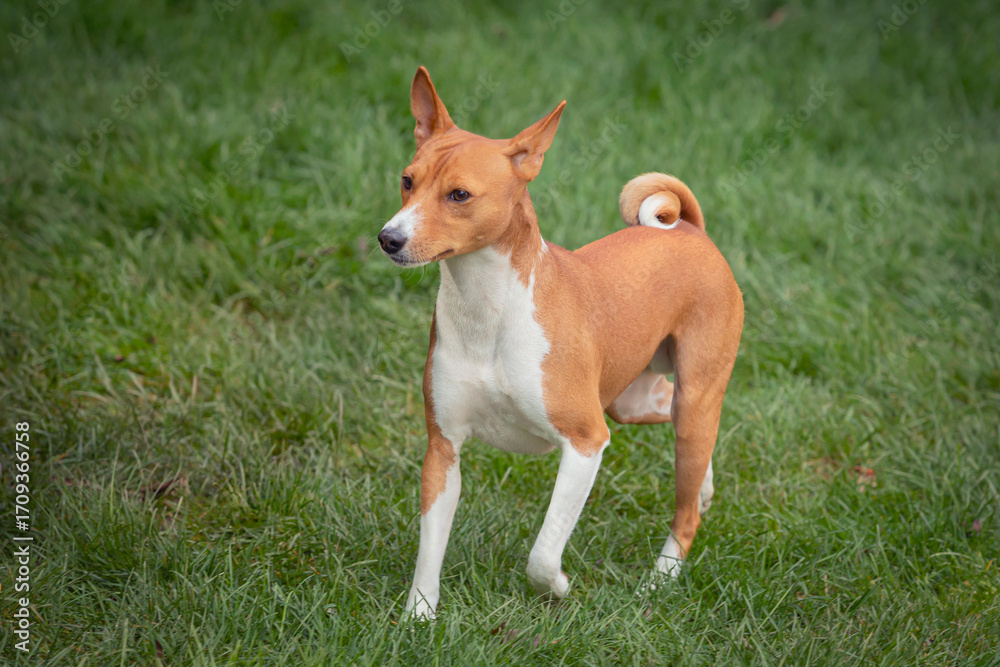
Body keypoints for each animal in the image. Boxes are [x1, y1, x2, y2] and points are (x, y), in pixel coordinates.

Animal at [378, 67, 743, 620]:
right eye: (407, 180)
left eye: (459, 195)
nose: (389, 238)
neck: (488, 314)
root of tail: (689, 230)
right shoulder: (444, 449)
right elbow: (429, 550)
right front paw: (418, 618)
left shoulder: (586, 441)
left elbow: (543, 553)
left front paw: (559, 588)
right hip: (635, 403)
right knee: (677, 424)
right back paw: (703, 488)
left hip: (690, 400)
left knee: (684, 517)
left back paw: (659, 580)